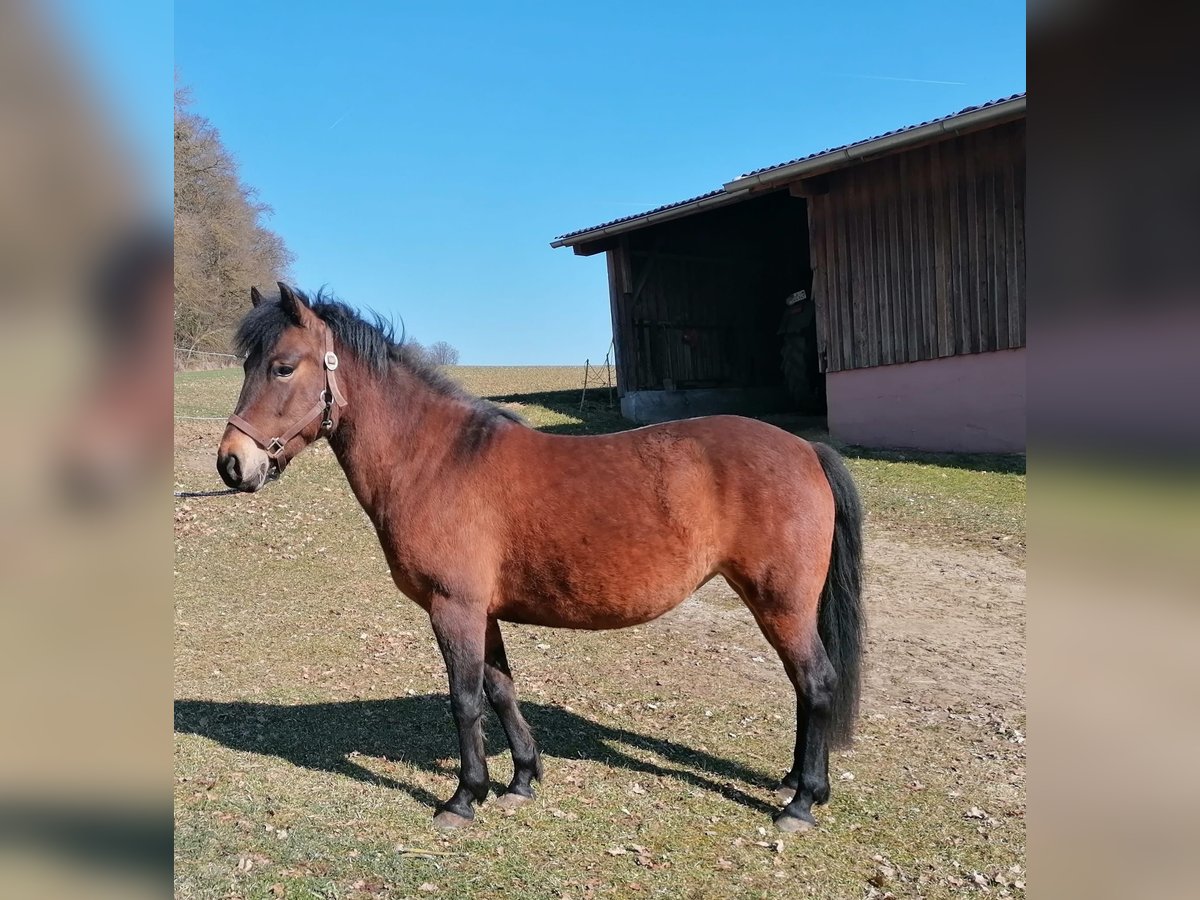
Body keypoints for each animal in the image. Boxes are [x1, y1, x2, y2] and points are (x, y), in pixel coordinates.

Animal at [218, 285, 864, 835]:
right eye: (247, 365)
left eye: (282, 366)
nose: (231, 463)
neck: (436, 460)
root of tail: (806, 448)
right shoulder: (482, 612)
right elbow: (501, 690)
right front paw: (521, 780)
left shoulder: (453, 608)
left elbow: (466, 700)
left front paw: (463, 798)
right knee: (804, 685)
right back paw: (794, 783)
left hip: (779, 602)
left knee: (817, 680)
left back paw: (802, 802)